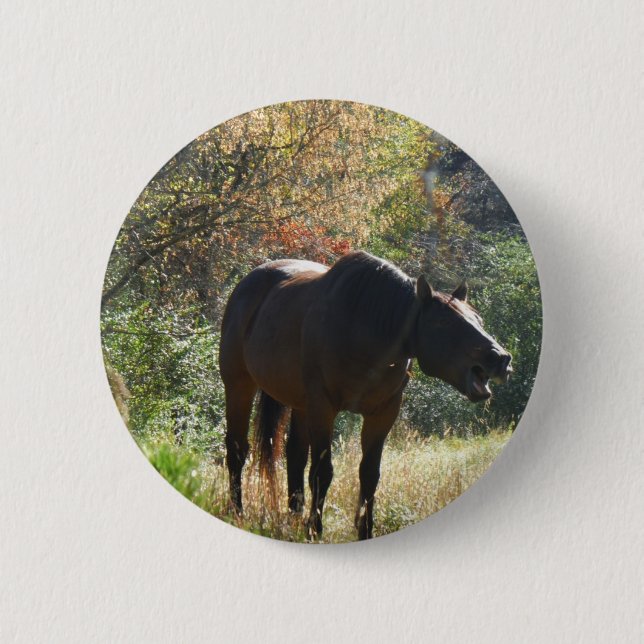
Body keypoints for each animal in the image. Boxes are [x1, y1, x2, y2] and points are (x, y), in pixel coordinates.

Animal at [219, 250, 512, 540]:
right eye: (443, 322)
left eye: (478, 320)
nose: (501, 359)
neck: (364, 328)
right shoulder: (323, 407)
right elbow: (322, 472)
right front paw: (315, 530)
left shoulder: (383, 412)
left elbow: (369, 474)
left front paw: (365, 531)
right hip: (239, 386)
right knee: (237, 449)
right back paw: (238, 512)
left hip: (300, 404)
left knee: (295, 455)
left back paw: (293, 518)